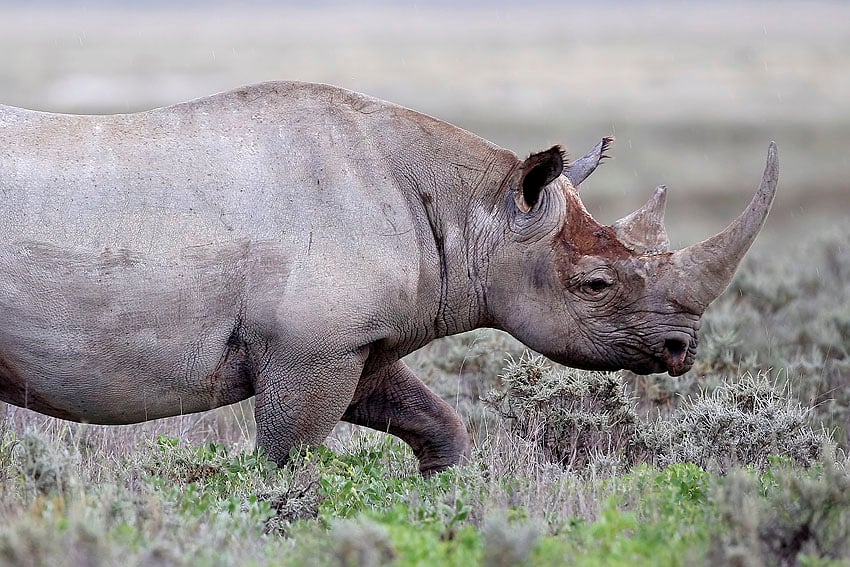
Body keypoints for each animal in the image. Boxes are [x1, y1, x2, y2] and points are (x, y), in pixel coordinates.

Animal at [0, 81, 778, 475]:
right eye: (595, 286)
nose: (682, 350)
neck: (476, 208)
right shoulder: (310, 348)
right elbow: (288, 461)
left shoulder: (354, 345)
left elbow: (437, 422)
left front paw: (442, 495)